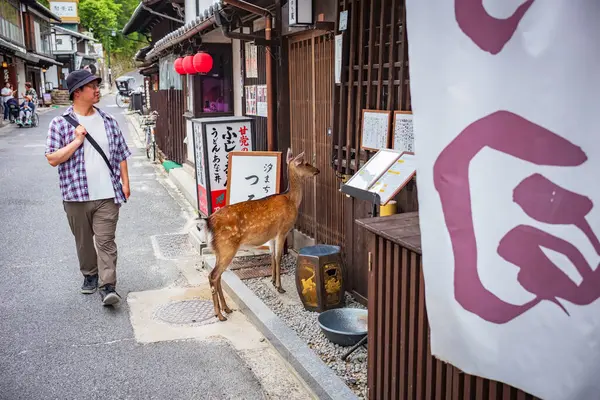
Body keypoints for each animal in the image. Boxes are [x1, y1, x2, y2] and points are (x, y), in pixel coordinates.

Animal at [197, 148, 318, 320]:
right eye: (306, 163)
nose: (317, 170)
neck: (292, 200)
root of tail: (208, 222)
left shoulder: (272, 235)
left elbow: (272, 256)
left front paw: (273, 281)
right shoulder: (283, 230)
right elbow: (278, 257)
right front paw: (280, 287)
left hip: (219, 250)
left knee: (218, 275)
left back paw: (227, 308)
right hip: (227, 247)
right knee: (213, 275)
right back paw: (219, 315)